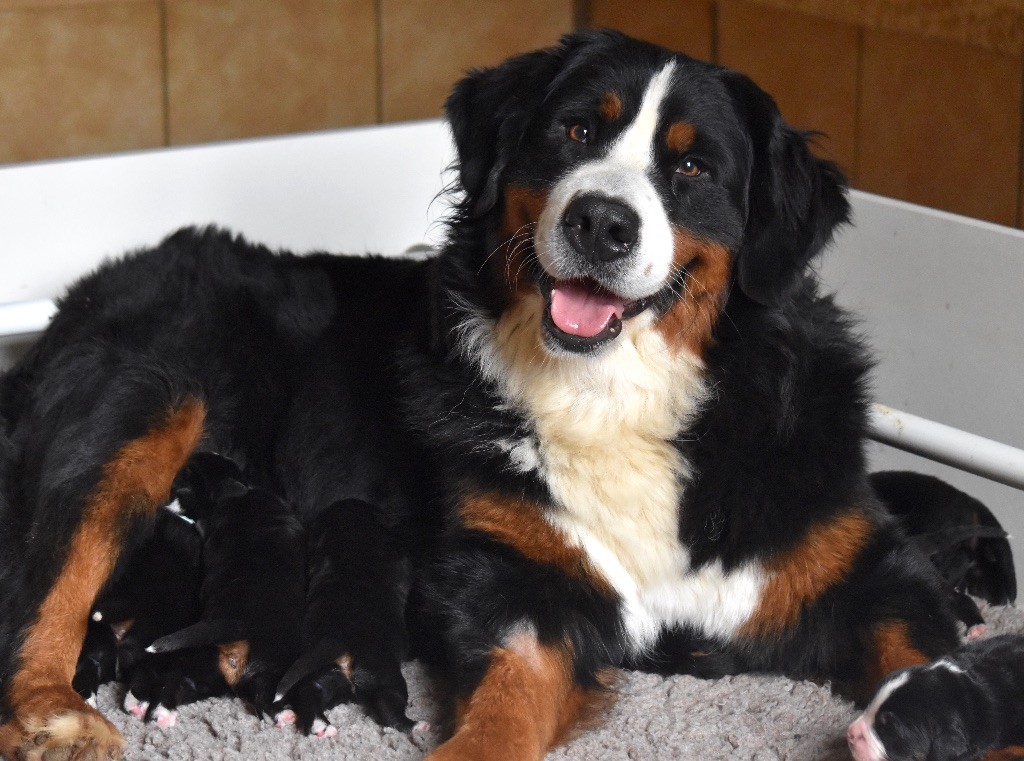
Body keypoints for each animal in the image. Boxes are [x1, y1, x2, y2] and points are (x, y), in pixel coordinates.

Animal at [276, 497, 415, 733]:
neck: (355, 537)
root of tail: (339, 637)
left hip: (323, 676)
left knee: (309, 694)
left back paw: (321, 727)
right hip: (385, 677)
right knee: (389, 708)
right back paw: (418, 726)